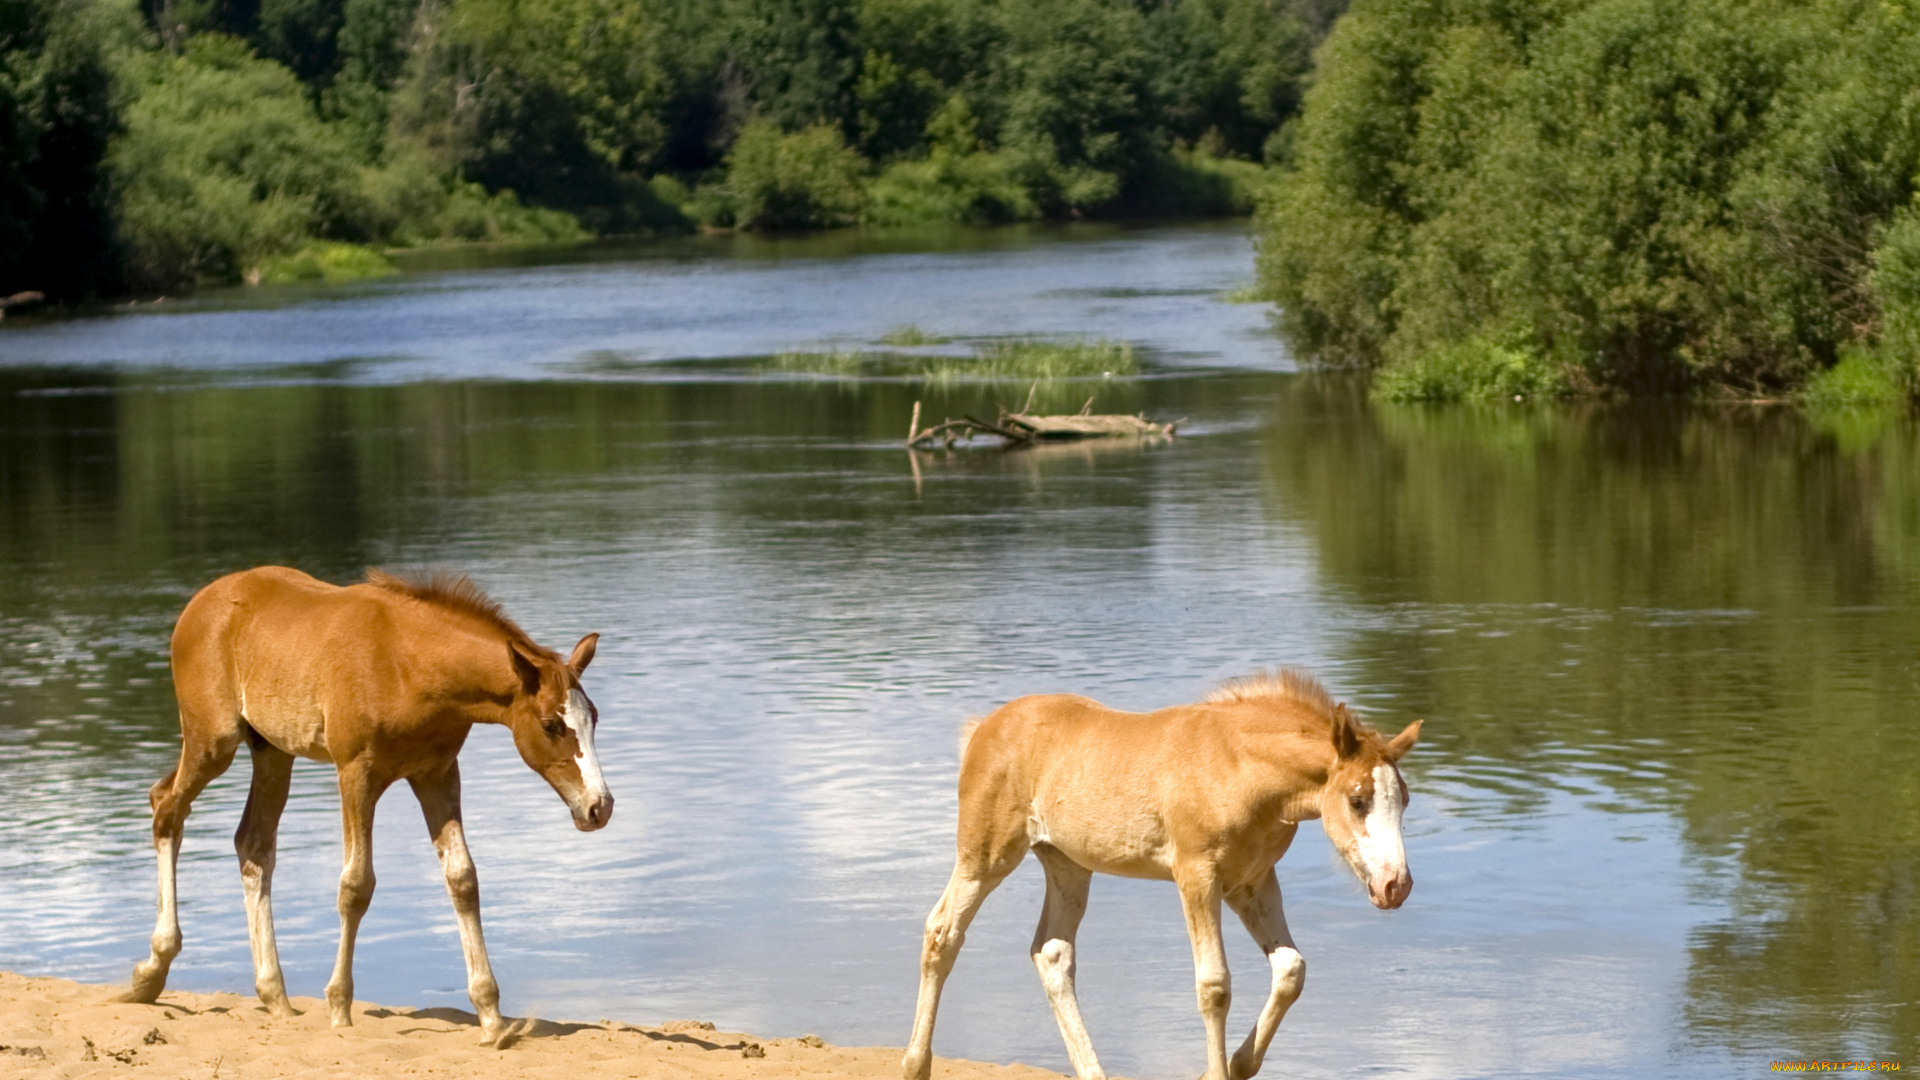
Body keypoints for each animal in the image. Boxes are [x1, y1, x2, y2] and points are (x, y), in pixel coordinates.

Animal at [118, 564, 614, 1045]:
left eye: (593, 717)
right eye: (551, 725)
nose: (600, 806)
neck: (408, 666)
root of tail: (199, 603)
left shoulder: (437, 774)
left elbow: (462, 879)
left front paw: (491, 1018)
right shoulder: (356, 773)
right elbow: (356, 886)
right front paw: (339, 1008)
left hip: (273, 751)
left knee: (253, 845)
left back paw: (275, 998)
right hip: (213, 741)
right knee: (166, 807)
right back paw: (151, 972)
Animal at [894, 664, 1413, 1076]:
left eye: (1404, 800)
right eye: (1358, 800)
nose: (1396, 885)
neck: (1237, 766)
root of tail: (983, 727)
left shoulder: (1252, 881)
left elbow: (1290, 970)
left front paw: (1239, 1064)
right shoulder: (1197, 875)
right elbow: (1214, 984)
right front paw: (1216, 1073)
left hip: (1067, 865)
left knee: (1053, 953)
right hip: (985, 856)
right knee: (942, 932)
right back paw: (915, 1064)